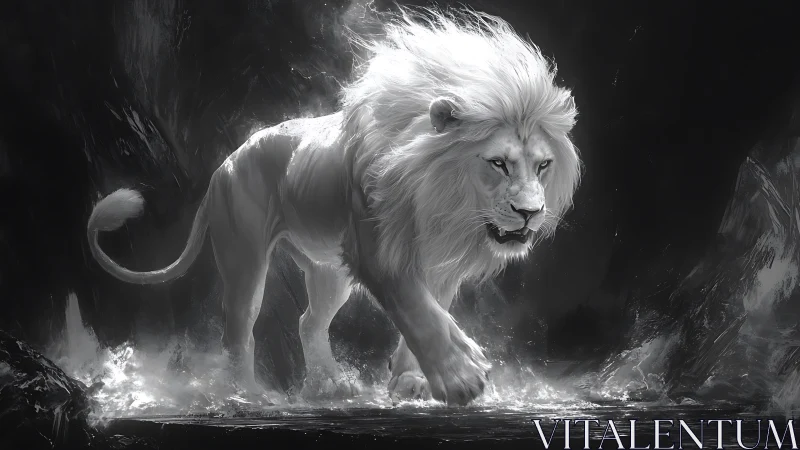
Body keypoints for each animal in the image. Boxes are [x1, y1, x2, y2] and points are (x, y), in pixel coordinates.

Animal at [86, 7, 581, 406]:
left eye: (543, 166)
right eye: (498, 163)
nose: (531, 213)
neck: (442, 203)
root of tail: (222, 167)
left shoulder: (438, 263)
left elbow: (431, 311)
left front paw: (410, 382)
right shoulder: (378, 250)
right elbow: (419, 312)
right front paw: (460, 379)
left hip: (328, 271)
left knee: (307, 322)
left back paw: (329, 386)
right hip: (245, 257)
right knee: (238, 331)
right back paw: (250, 395)